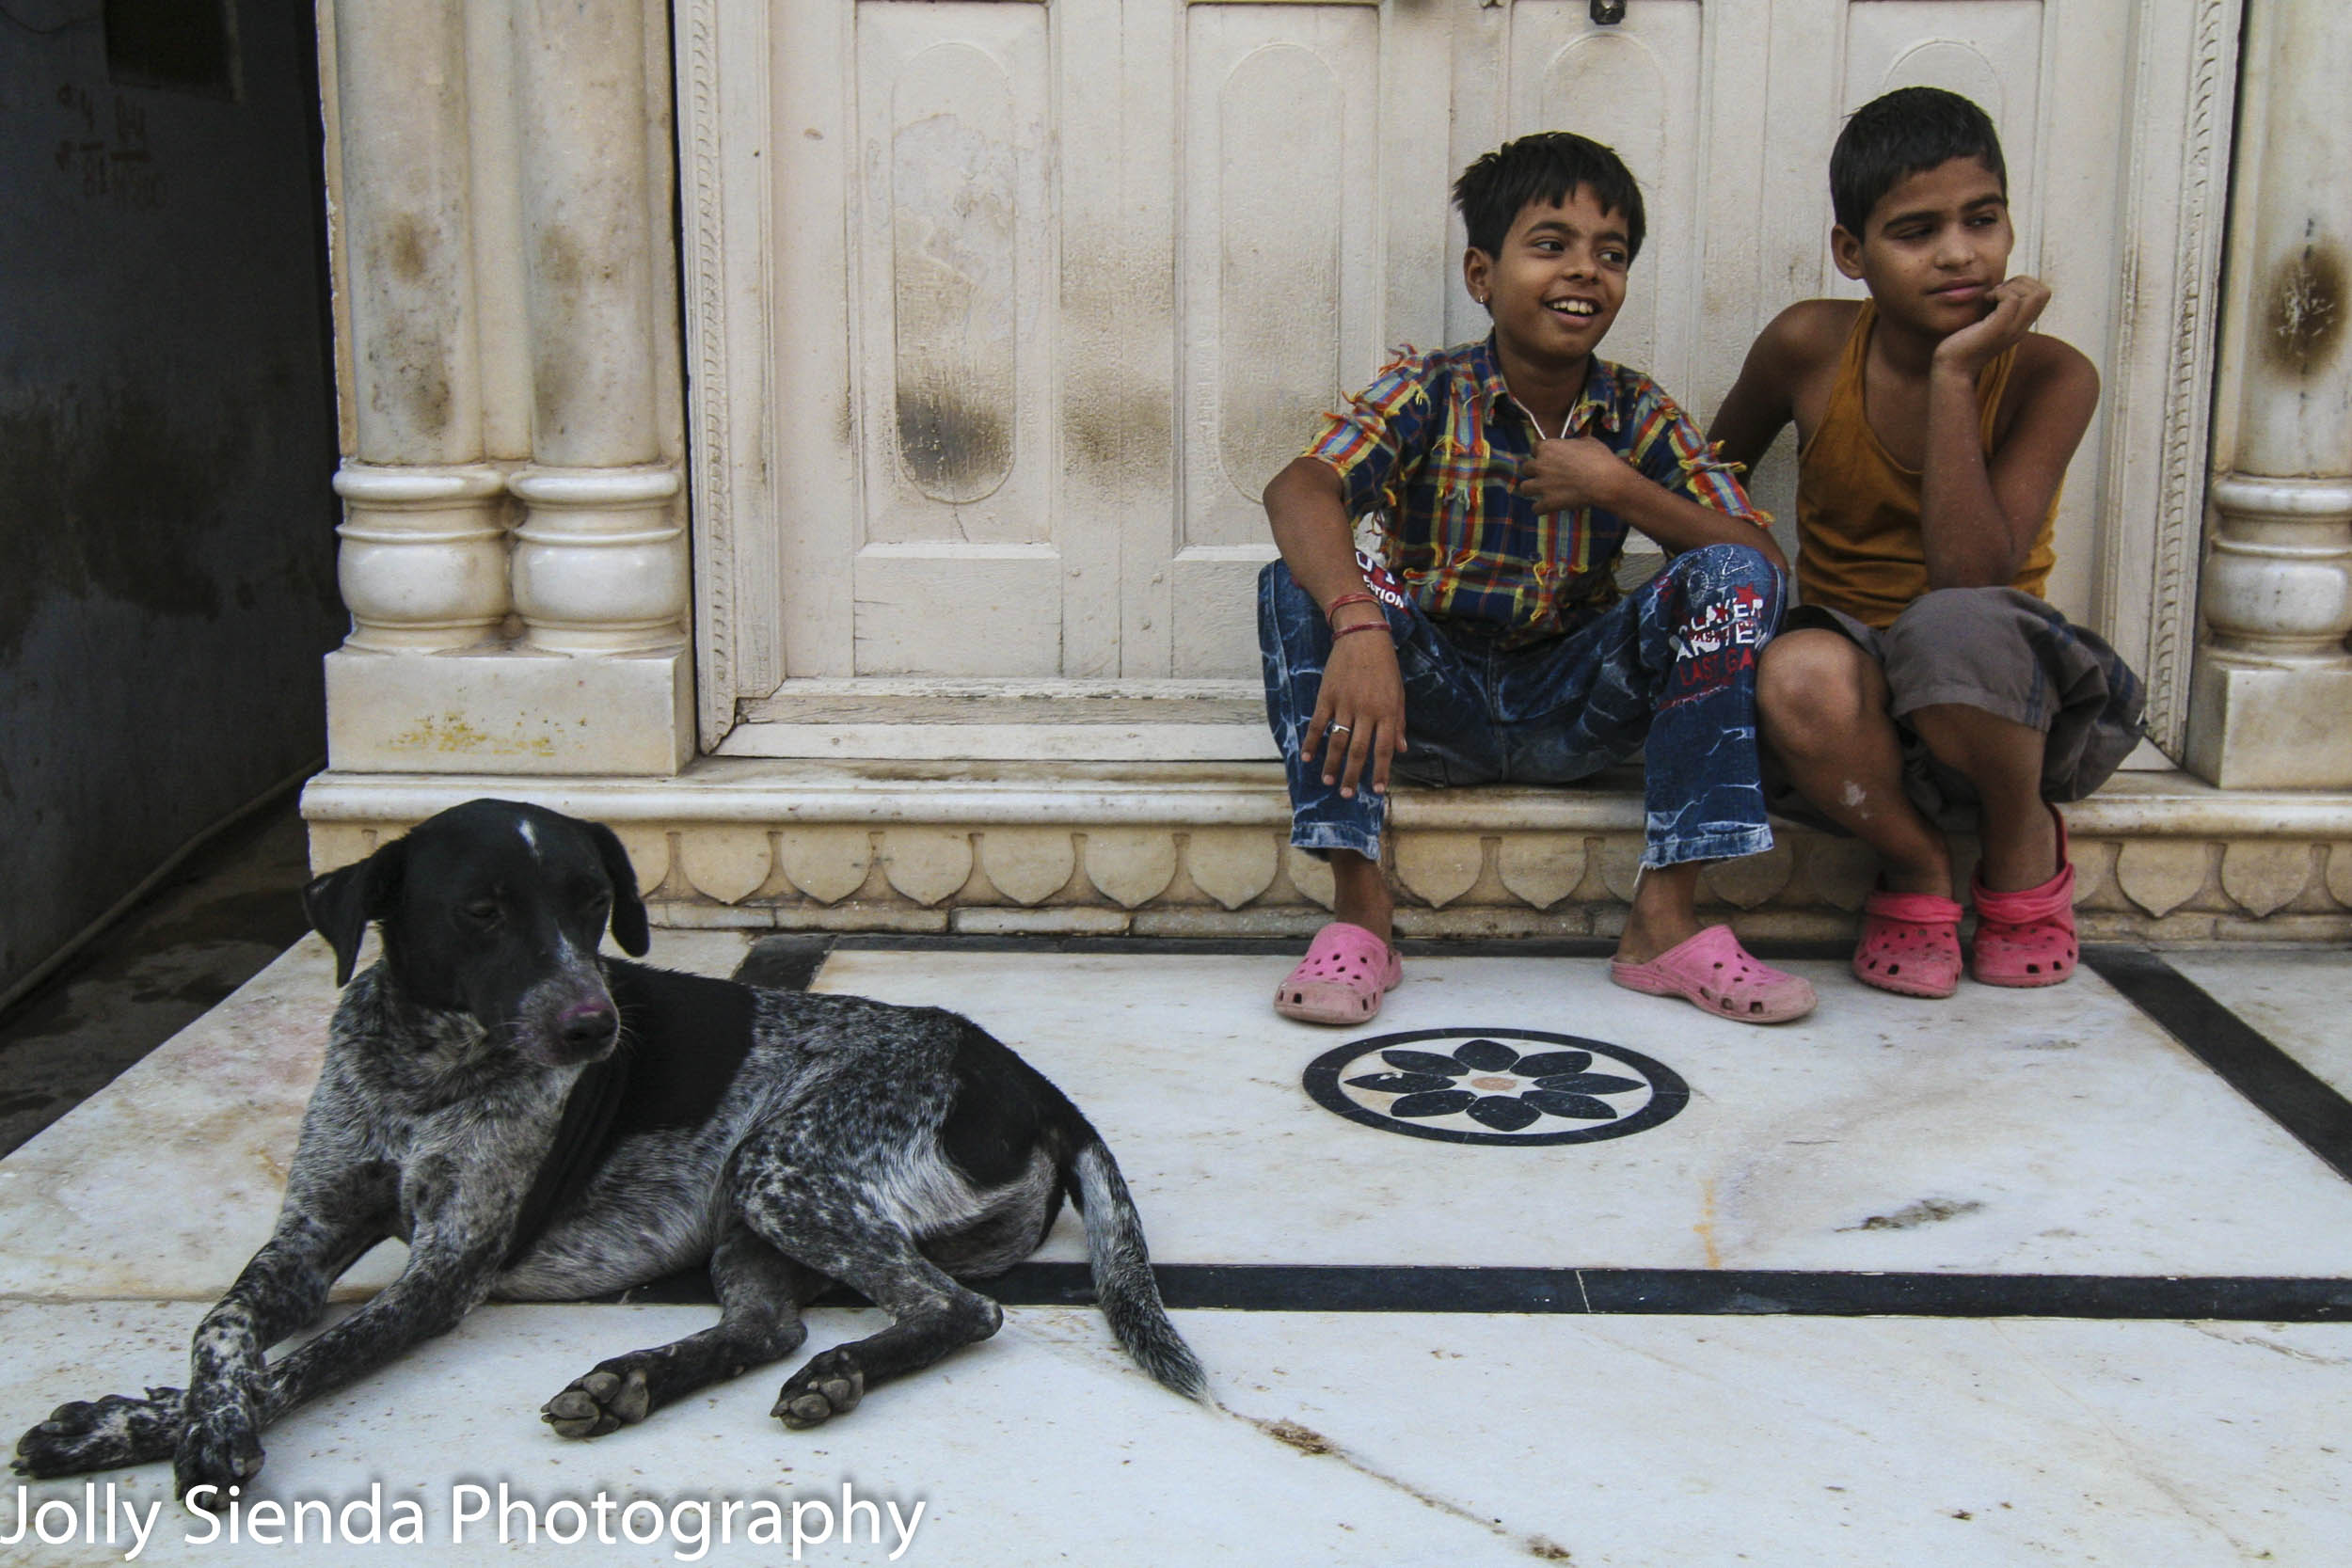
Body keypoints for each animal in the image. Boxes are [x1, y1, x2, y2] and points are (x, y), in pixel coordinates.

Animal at [8, 803, 1204, 1504]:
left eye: (594, 904)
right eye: (482, 910)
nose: (594, 1026)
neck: (419, 1075)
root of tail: (1032, 1082)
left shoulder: (444, 1272)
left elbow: (305, 1360)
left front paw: (170, 1425)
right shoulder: (304, 1237)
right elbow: (222, 1331)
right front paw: (142, 1415)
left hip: (781, 1166)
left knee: (958, 1308)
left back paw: (837, 1370)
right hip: (751, 1200)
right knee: (766, 1325)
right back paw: (632, 1377)